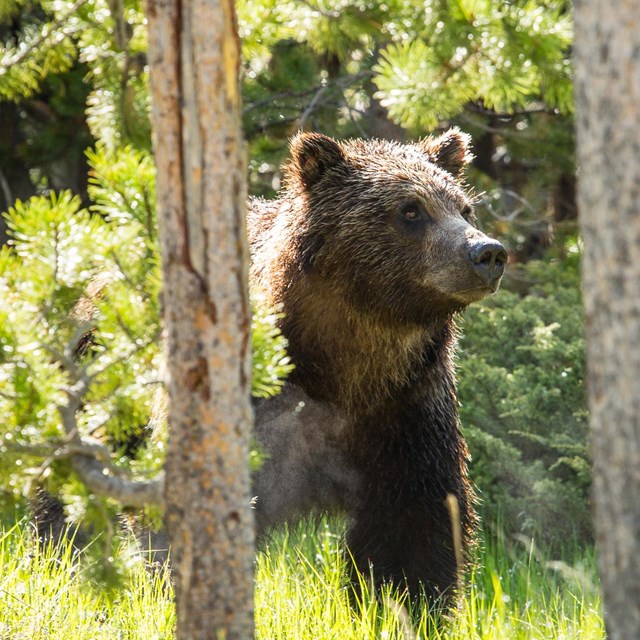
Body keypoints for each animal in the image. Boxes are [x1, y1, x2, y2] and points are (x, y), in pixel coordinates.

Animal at [248, 129, 508, 604]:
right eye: (411, 210)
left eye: (464, 207)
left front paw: (403, 601)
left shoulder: (407, 409)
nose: (487, 253)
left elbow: (415, 522)